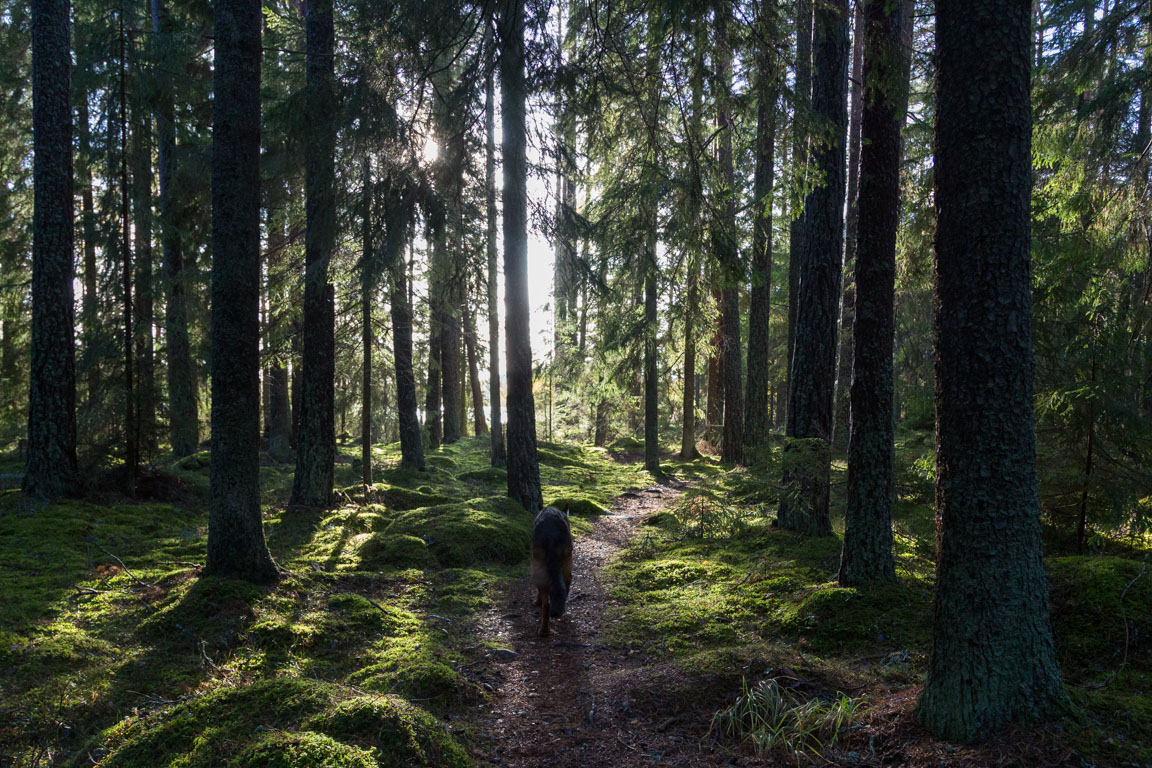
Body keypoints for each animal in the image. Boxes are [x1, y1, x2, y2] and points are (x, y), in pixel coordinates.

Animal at [529, 504, 571, 635]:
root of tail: (552, 535)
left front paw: (537, 601)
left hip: (537, 567)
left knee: (546, 604)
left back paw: (544, 630)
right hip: (567, 559)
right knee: (567, 584)